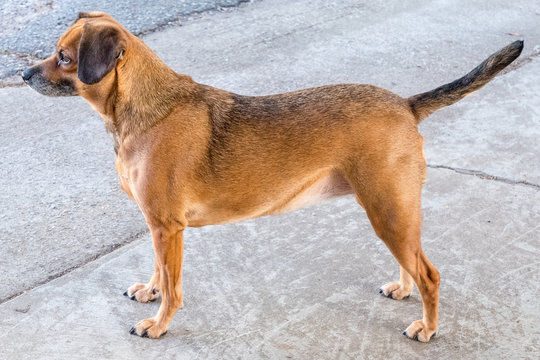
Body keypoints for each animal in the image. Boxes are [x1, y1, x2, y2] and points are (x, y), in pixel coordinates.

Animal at [22, 12, 524, 342]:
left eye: (64, 57)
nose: (24, 74)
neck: (143, 108)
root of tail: (406, 104)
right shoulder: (159, 227)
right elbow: (160, 273)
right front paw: (150, 291)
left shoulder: (167, 227)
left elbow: (175, 287)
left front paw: (159, 324)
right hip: (392, 212)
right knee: (412, 263)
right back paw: (403, 289)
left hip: (388, 211)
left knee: (431, 275)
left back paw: (429, 327)